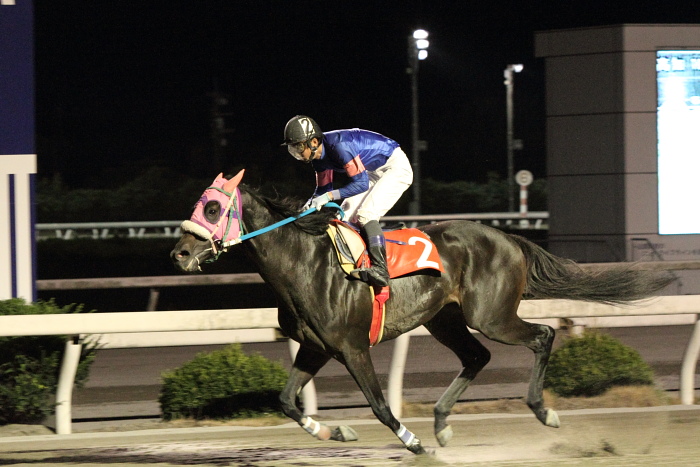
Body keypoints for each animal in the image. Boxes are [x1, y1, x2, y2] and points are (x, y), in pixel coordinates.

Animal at [171, 172, 672, 454]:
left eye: (212, 207)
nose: (179, 253)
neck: (304, 262)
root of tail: (509, 238)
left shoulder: (352, 348)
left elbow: (379, 405)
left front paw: (411, 443)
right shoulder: (316, 348)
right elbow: (285, 401)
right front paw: (337, 433)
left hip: (491, 316)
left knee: (543, 335)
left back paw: (541, 411)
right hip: (444, 318)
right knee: (477, 356)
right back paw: (442, 423)